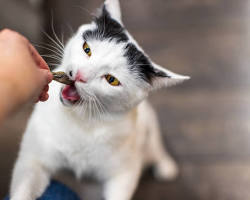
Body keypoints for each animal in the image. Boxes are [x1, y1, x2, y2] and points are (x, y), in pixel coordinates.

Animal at [9, 0, 189, 200]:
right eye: (86, 49)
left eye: (112, 80)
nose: (78, 75)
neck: (82, 121)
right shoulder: (33, 159)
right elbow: (24, 187)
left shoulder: (123, 175)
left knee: (155, 148)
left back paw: (166, 166)